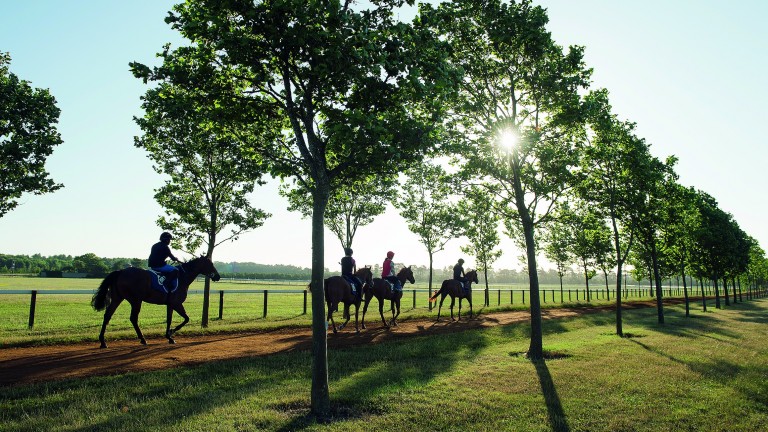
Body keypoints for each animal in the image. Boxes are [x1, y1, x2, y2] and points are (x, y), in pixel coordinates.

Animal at [92, 256, 222, 348]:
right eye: (210, 264)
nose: (218, 276)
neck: (182, 277)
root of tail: (121, 271)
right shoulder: (176, 303)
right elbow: (186, 319)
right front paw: (171, 332)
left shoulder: (170, 305)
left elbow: (169, 319)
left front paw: (169, 337)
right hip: (136, 301)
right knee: (133, 318)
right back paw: (143, 339)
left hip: (117, 298)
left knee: (107, 315)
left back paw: (103, 341)